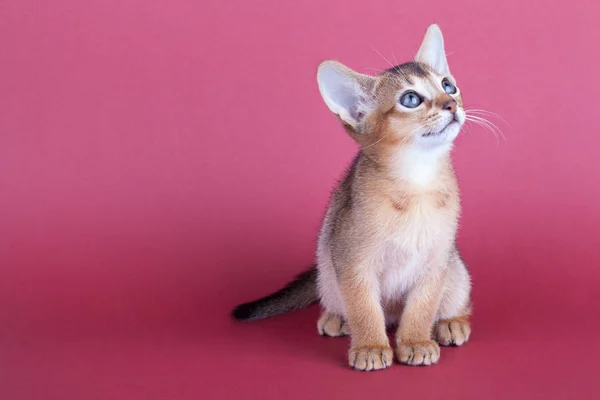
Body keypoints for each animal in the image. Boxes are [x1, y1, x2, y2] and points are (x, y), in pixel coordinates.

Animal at [232, 23, 472, 370]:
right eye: (410, 99)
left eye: (448, 85)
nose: (451, 105)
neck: (416, 182)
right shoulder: (353, 261)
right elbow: (364, 307)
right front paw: (370, 346)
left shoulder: (435, 260)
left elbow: (422, 307)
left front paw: (415, 340)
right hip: (327, 267)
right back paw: (337, 319)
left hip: (455, 269)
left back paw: (451, 322)